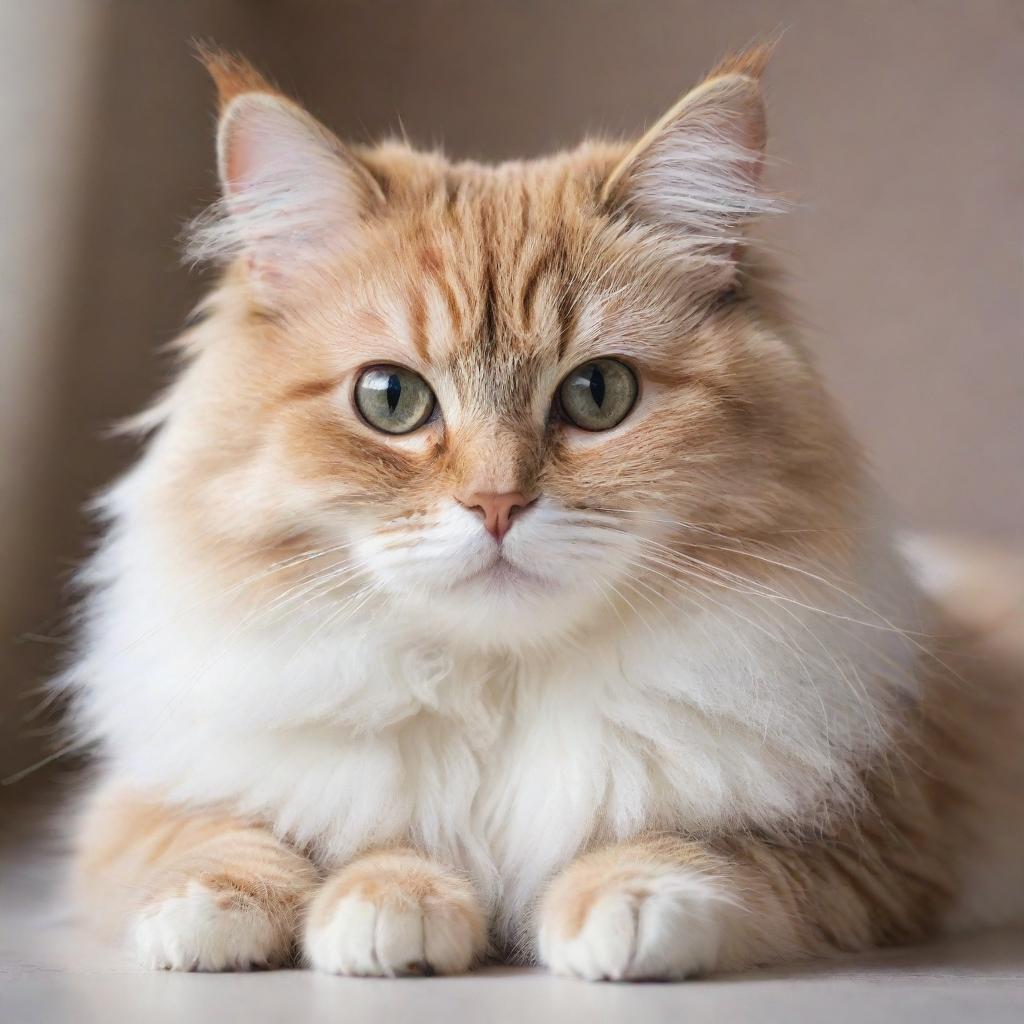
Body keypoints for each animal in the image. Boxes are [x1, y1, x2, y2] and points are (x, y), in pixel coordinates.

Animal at [59, 44, 1019, 978]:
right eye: (390, 398)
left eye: (599, 394)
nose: (497, 503)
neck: (499, 687)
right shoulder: (147, 799)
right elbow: (227, 836)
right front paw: (349, 905)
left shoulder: (874, 835)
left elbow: (694, 847)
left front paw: (620, 908)